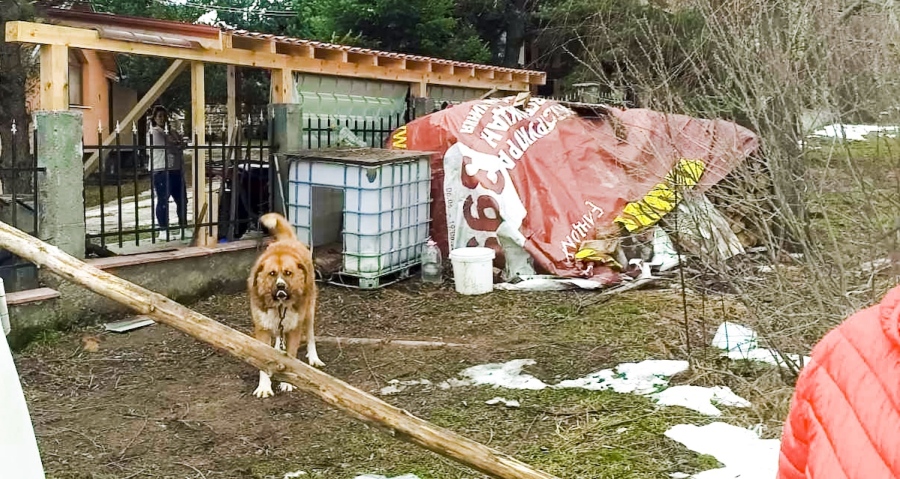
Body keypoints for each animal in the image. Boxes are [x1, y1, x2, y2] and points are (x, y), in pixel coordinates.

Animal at [250, 212, 324, 400]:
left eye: (288, 273)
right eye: (272, 273)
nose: (281, 286)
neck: (280, 305)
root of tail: (288, 240)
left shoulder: (294, 329)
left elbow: (291, 357)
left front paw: (287, 383)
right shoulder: (262, 328)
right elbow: (264, 358)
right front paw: (264, 387)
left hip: (309, 312)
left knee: (310, 336)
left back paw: (314, 358)